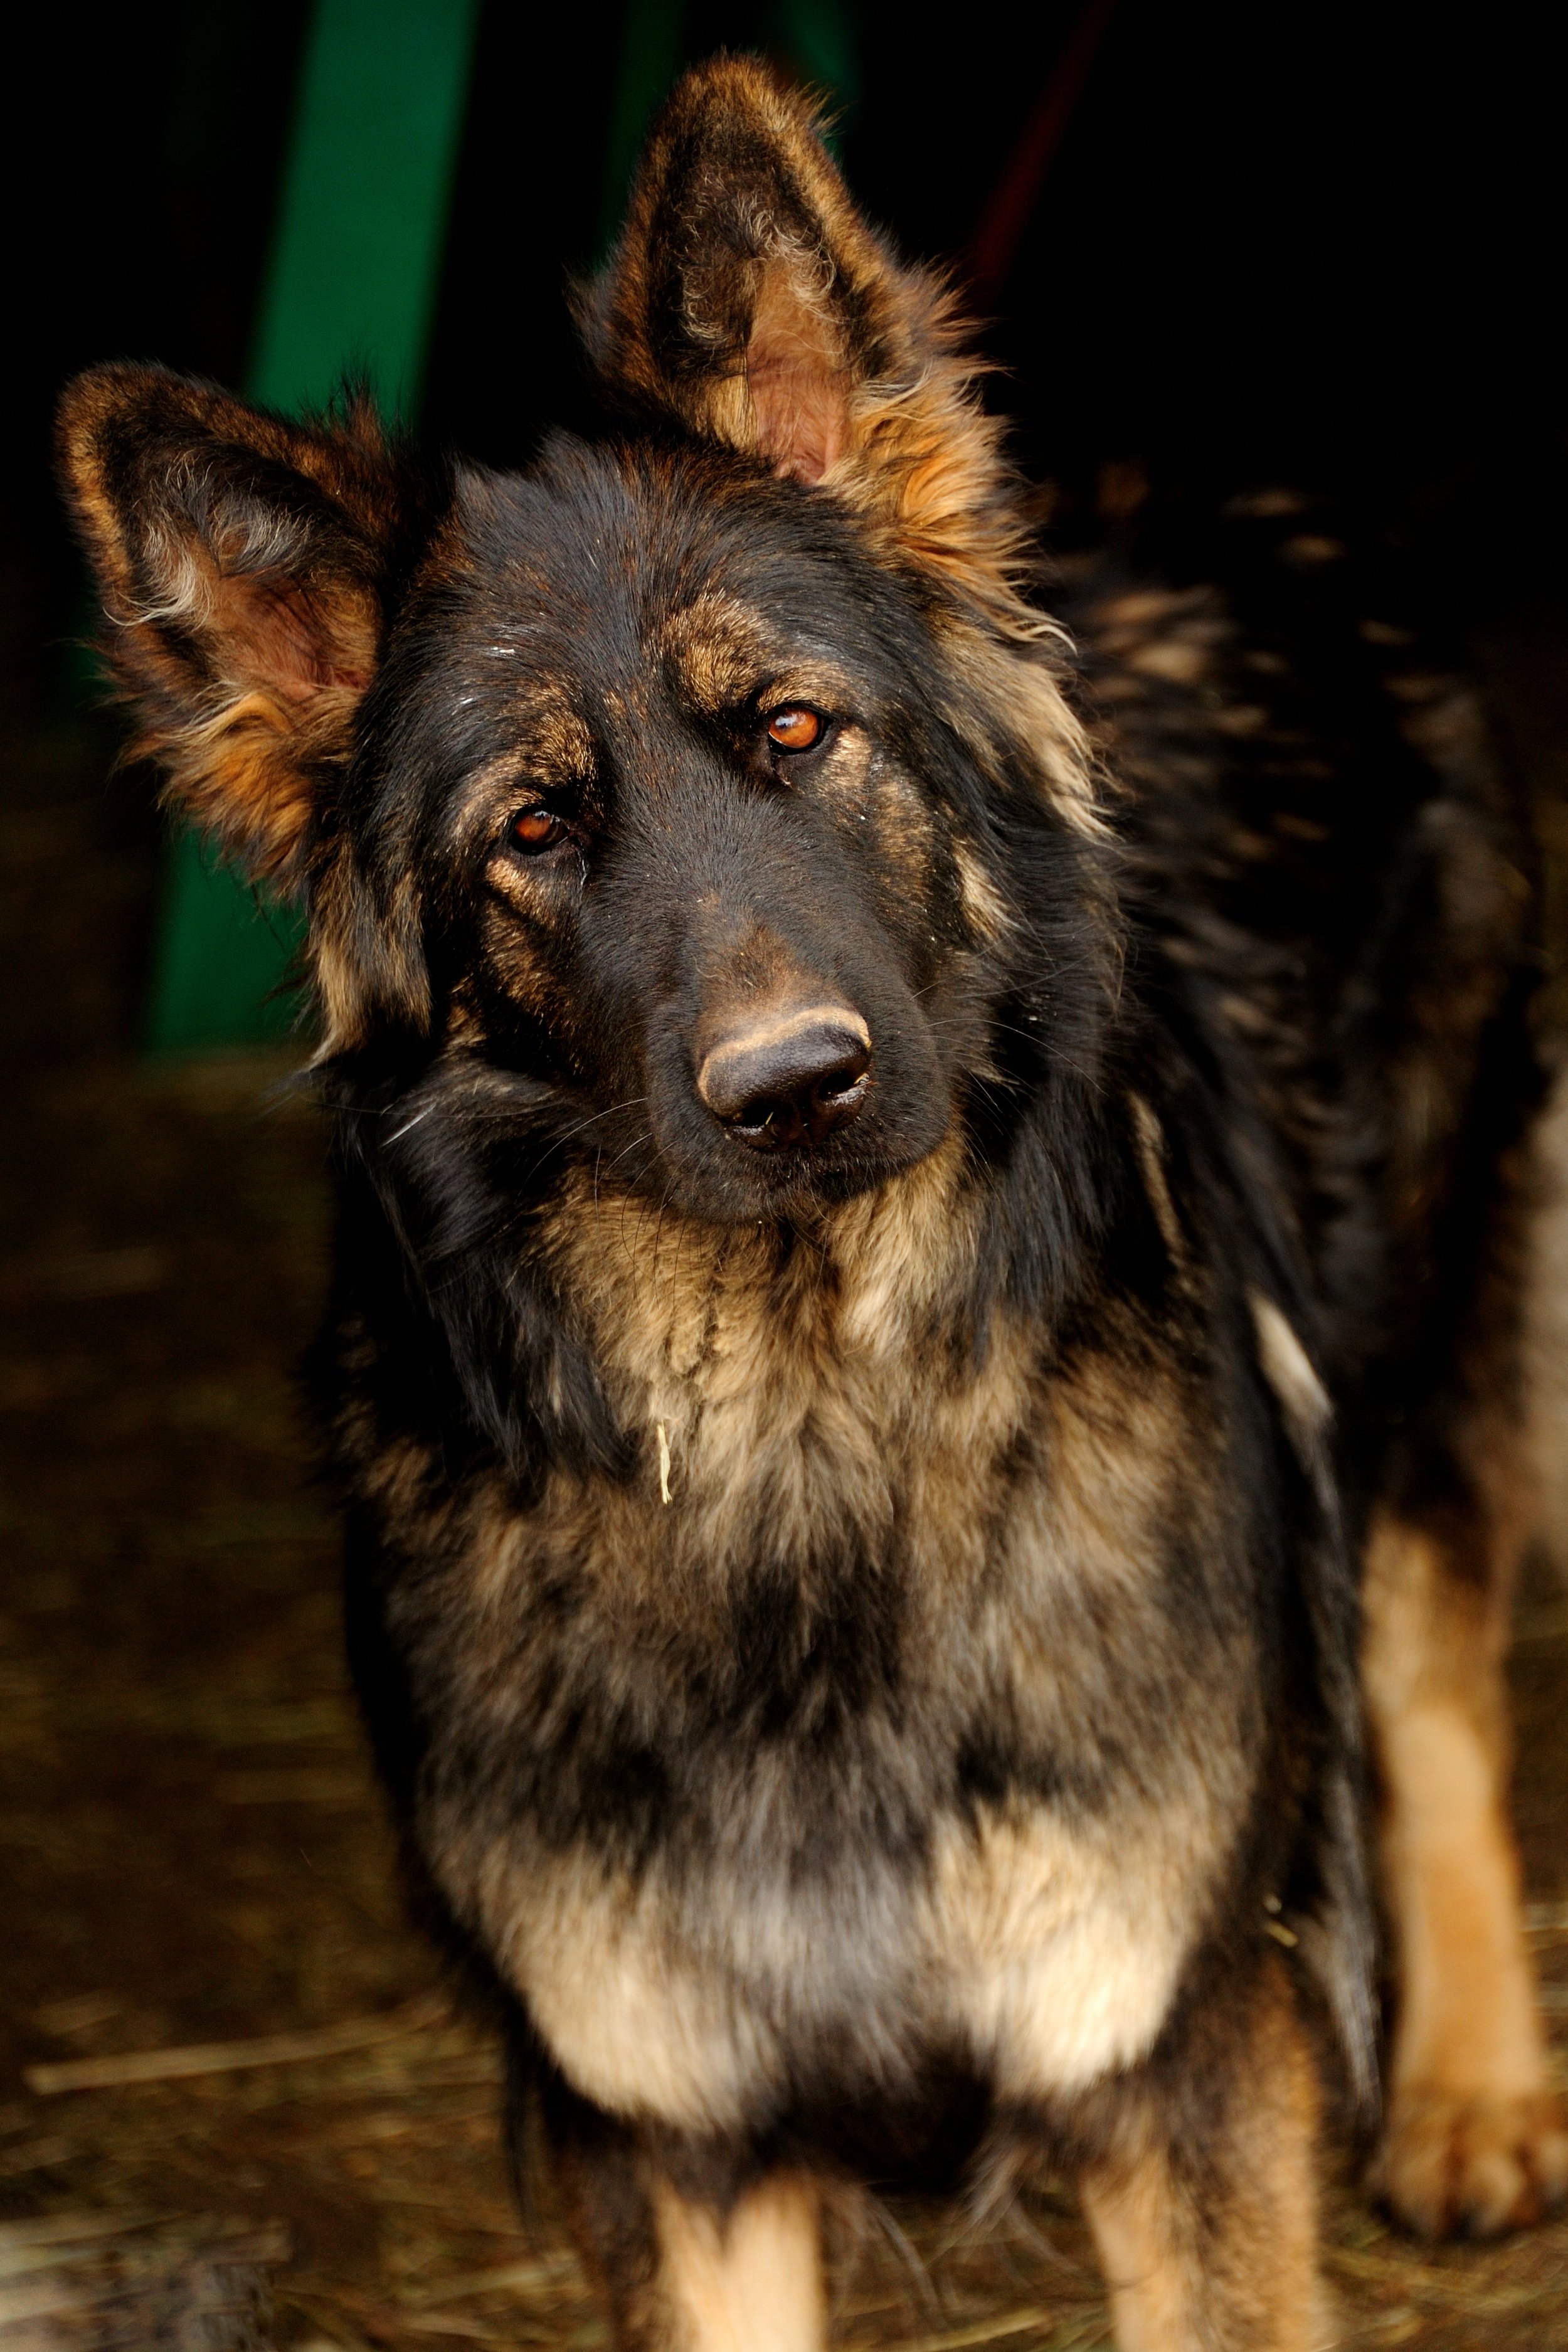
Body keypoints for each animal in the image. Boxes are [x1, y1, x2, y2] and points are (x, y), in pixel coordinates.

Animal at [58, 60, 1568, 2352]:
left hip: (1418, 1277)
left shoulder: (1175, 2064)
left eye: (793, 728)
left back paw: (1480, 2088)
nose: (793, 1093)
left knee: (1433, 1655)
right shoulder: (679, 2146)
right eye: (533, 831)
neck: (810, 1437)